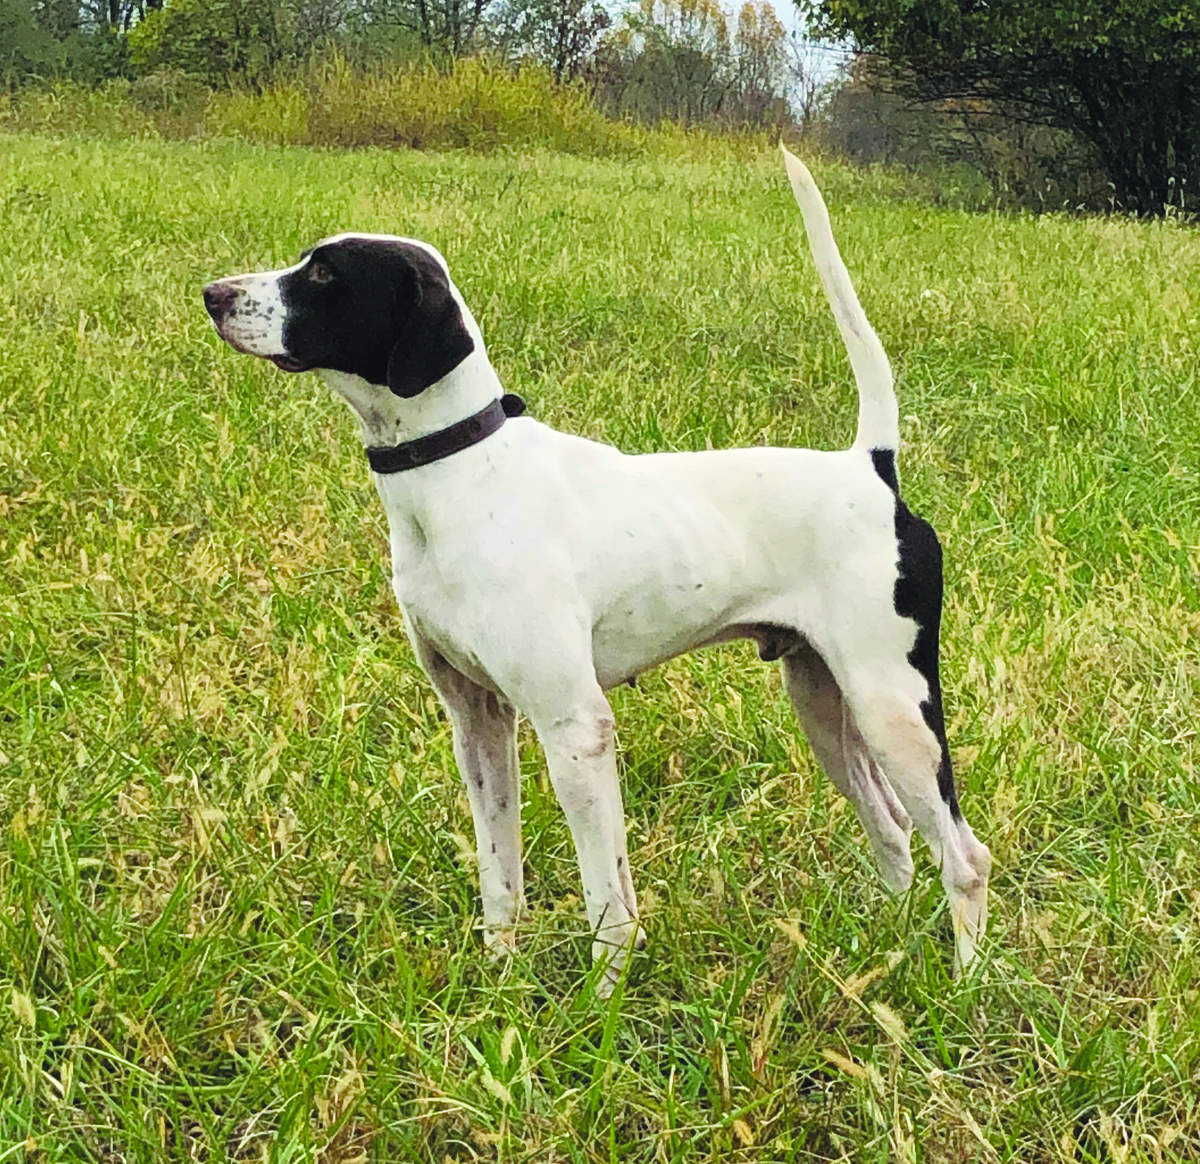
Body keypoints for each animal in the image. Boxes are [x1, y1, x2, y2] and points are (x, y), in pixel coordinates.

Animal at [206, 147, 988, 988]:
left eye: (325, 274)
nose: (213, 294)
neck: (463, 472)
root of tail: (871, 468)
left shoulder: (575, 727)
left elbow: (606, 897)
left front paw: (602, 997)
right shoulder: (477, 722)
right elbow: (500, 873)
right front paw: (501, 977)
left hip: (894, 708)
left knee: (964, 855)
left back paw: (967, 986)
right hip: (825, 702)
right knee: (896, 833)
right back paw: (880, 955)